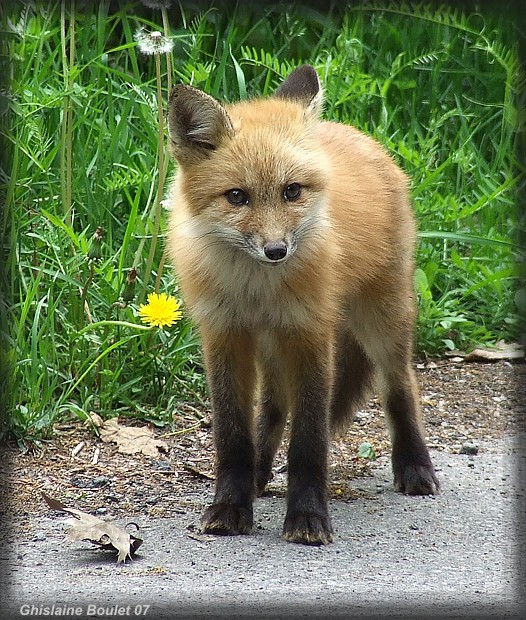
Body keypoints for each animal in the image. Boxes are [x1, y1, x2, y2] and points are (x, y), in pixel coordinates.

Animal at [167, 65, 440, 544]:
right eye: (236, 196)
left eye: (291, 191)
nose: (277, 250)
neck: (257, 288)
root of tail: (356, 133)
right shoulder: (225, 335)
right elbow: (233, 436)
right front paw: (231, 505)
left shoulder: (310, 333)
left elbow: (309, 441)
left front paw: (308, 517)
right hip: (273, 343)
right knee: (274, 406)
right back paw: (258, 474)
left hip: (382, 318)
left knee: (400, 385)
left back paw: (414, 465)